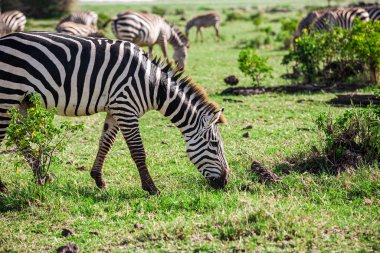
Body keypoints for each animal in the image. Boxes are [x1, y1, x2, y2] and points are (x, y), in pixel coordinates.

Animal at [0, 31, 230, 194]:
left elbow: (106, 143)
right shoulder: (126, 108)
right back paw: (5, 186)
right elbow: (138, 151)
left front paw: (98, 178)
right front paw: (151, 188)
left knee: (20, 138)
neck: (153, 85)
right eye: (215, 144)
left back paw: (41, 177)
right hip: (7, 96)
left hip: (23, 102)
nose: (226, 181)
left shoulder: (115, 109)